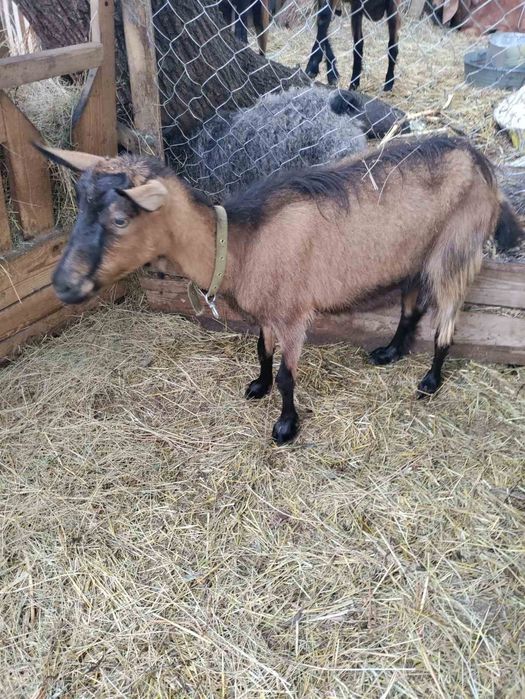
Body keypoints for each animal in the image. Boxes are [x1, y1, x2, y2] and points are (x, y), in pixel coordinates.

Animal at [36, 138, 522, 444]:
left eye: (120, 219)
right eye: (80, 210)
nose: (63, 284)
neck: (240, 244)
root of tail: (480, 160)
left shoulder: (292, 313)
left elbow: (289, 374)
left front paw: (286, 427)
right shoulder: (268, 311)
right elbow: (261, 350)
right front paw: (258, 385)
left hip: (456, 248)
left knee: (448, 315)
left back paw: (431, 380)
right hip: (416, 253)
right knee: (411, 304)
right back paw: (390, 351)